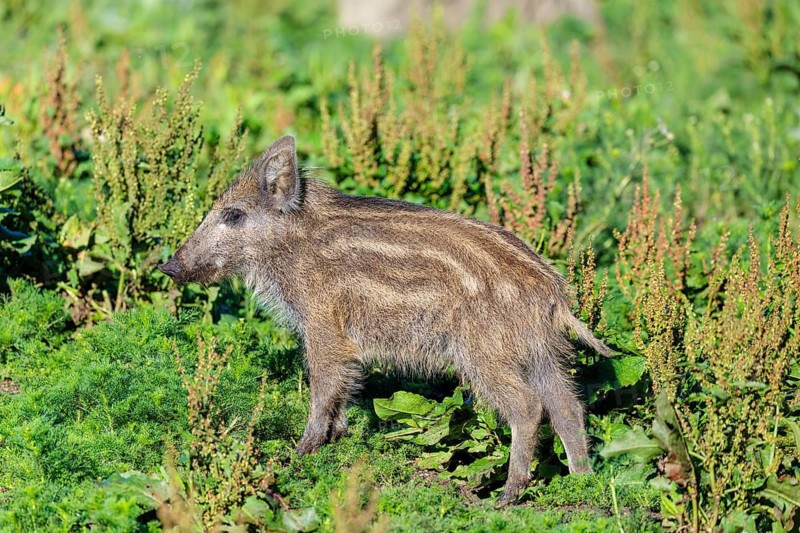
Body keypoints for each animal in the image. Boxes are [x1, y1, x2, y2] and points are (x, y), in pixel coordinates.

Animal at [158, 135, 612, 503]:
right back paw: (581, 481)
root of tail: (553, 293)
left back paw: (508, 495)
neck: (292, 246)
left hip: (485, 354)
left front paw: (300, 454)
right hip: (541, 353)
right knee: (567, 406)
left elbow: (324, 384)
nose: (169, 266)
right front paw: (337, 440)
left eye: (233, 214)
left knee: (528, 406)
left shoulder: (324, 324)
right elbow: (344, 387)